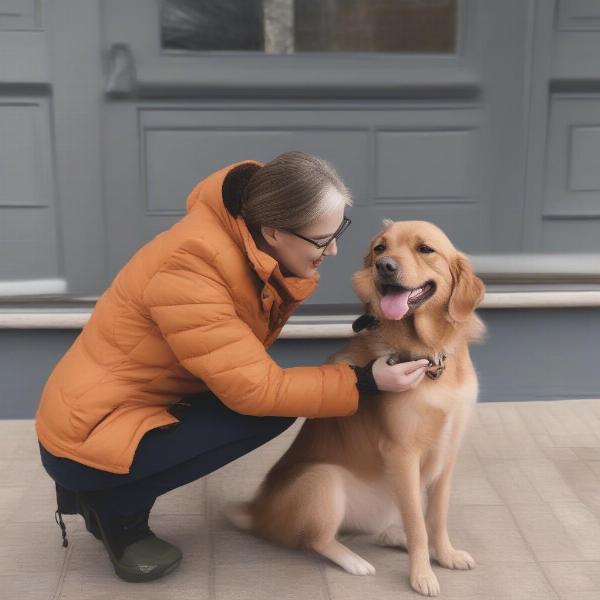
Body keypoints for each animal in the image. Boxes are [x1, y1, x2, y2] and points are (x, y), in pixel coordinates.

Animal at [225, 219, 488, 596]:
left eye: (425, 249)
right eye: (380, 248)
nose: (385, 266)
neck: (430, 355)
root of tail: (258, 513)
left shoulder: (448, 452)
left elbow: (435, 518)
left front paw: (445, 554)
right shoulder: (402, 453)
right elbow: (418, 525)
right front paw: (422, 574)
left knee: (383, 529)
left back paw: (394, 537)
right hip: (323, 478)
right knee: (317, 540)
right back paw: (354, 560)